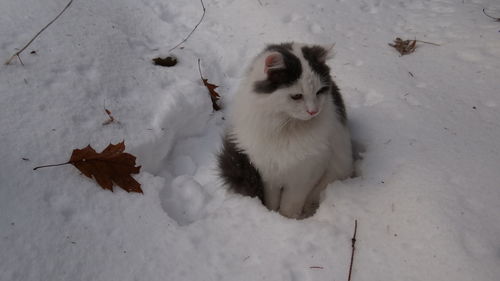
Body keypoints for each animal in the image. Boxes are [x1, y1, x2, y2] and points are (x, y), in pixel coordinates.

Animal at [217, 41, 354, 218]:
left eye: (319, 92)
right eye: (297, 96)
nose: (313, 111)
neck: (286, 127)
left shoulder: (307, 173)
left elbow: (290, 205)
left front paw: (287, 219)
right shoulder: (269, 172)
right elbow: (272, 201)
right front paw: (272, 214)